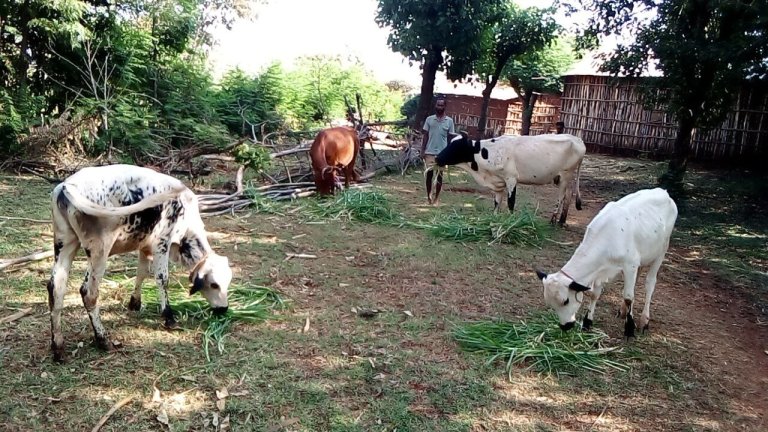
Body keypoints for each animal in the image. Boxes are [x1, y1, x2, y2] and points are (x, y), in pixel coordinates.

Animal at [47, 164, 232, 362]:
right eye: (214, 284)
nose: (224, 309)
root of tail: (67, 185)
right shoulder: (162, 243)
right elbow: (162, 279)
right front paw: (169, 317)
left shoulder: (145, 247)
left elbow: (141, 273)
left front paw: (135, 303)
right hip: (99, 251)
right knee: (88, 293)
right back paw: (103, 339)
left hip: (65, 243)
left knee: (56, 289)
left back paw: (58, 347)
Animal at [536, 187, 680, 340]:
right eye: (550, 304)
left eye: (566, 301)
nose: (565, 326)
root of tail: (663, 192)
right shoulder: (602, 268)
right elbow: (595, 294)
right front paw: (587, 322)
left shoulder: (630, 264)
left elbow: (628, 297)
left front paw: (629, 329)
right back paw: (623, 311)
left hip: (661, 251)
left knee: (650, 283)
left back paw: (644, 320)